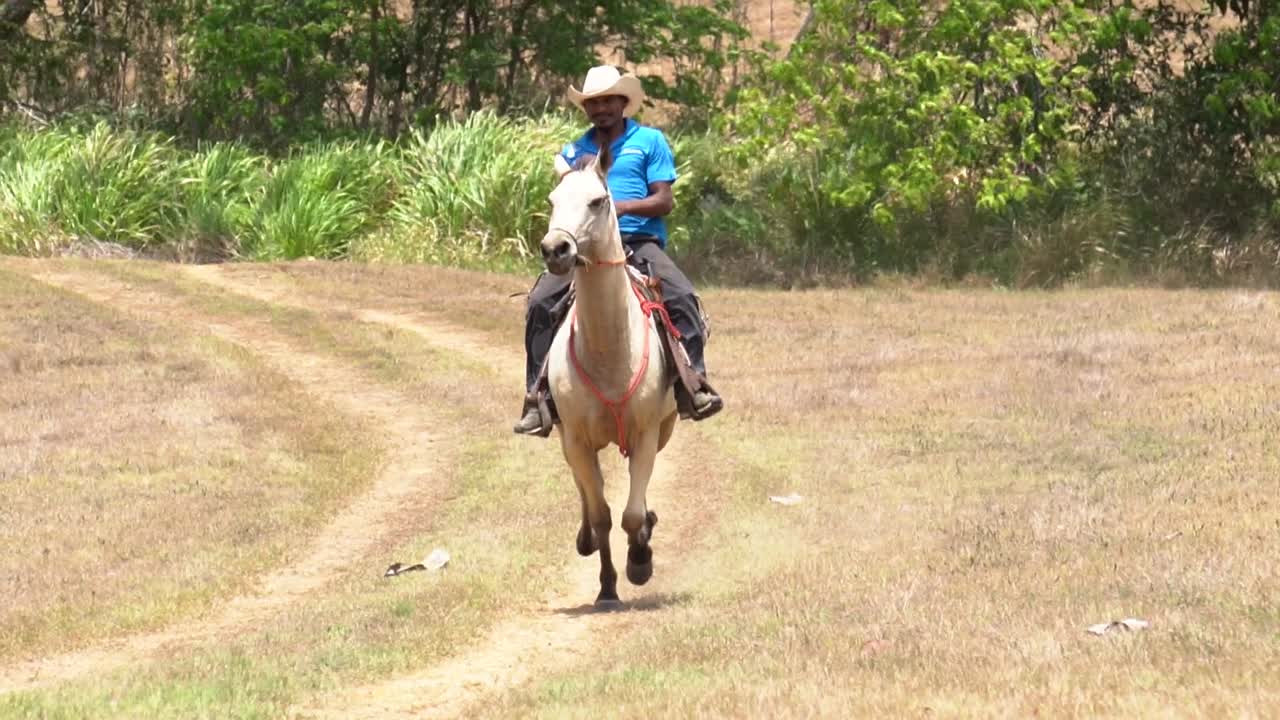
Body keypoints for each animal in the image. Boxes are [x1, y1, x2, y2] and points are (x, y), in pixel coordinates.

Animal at [539, 148, 678, 608]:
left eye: (598, 201)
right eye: (552, 200)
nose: (555, 249)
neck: (609, 349)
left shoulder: (648, 433)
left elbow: (632, 514)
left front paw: (640, 561)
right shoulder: (578, 440)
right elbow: (601, 514)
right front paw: (607, 587)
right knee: (587, 491)